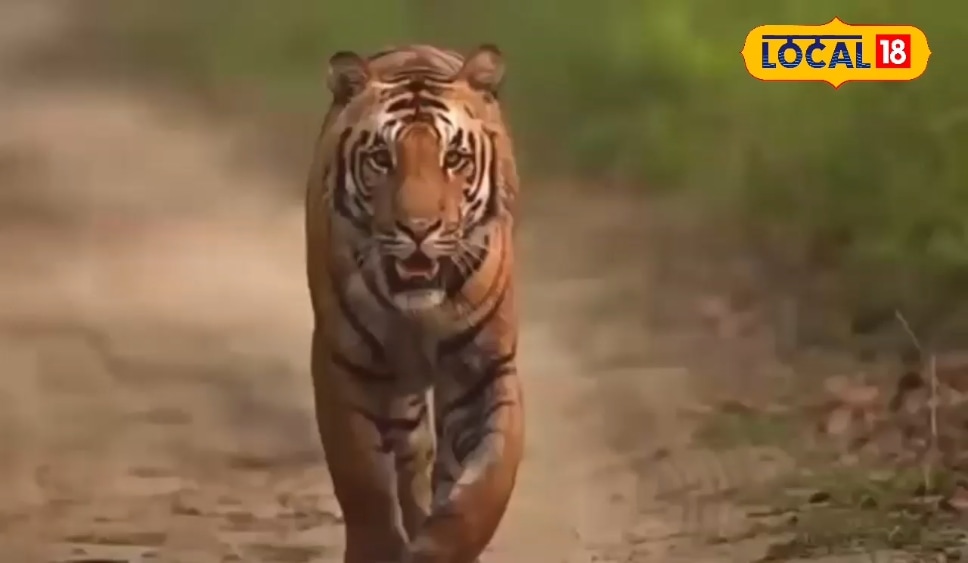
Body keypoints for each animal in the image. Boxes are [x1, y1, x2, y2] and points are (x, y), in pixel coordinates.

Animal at [304, 44, 523, 563]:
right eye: (382, 158)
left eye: (455, 158)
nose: (418, 228)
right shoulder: (346, 368)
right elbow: (363, 482)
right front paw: (381, 549)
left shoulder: (486, 372)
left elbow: (484, 490)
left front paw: (436, 548)